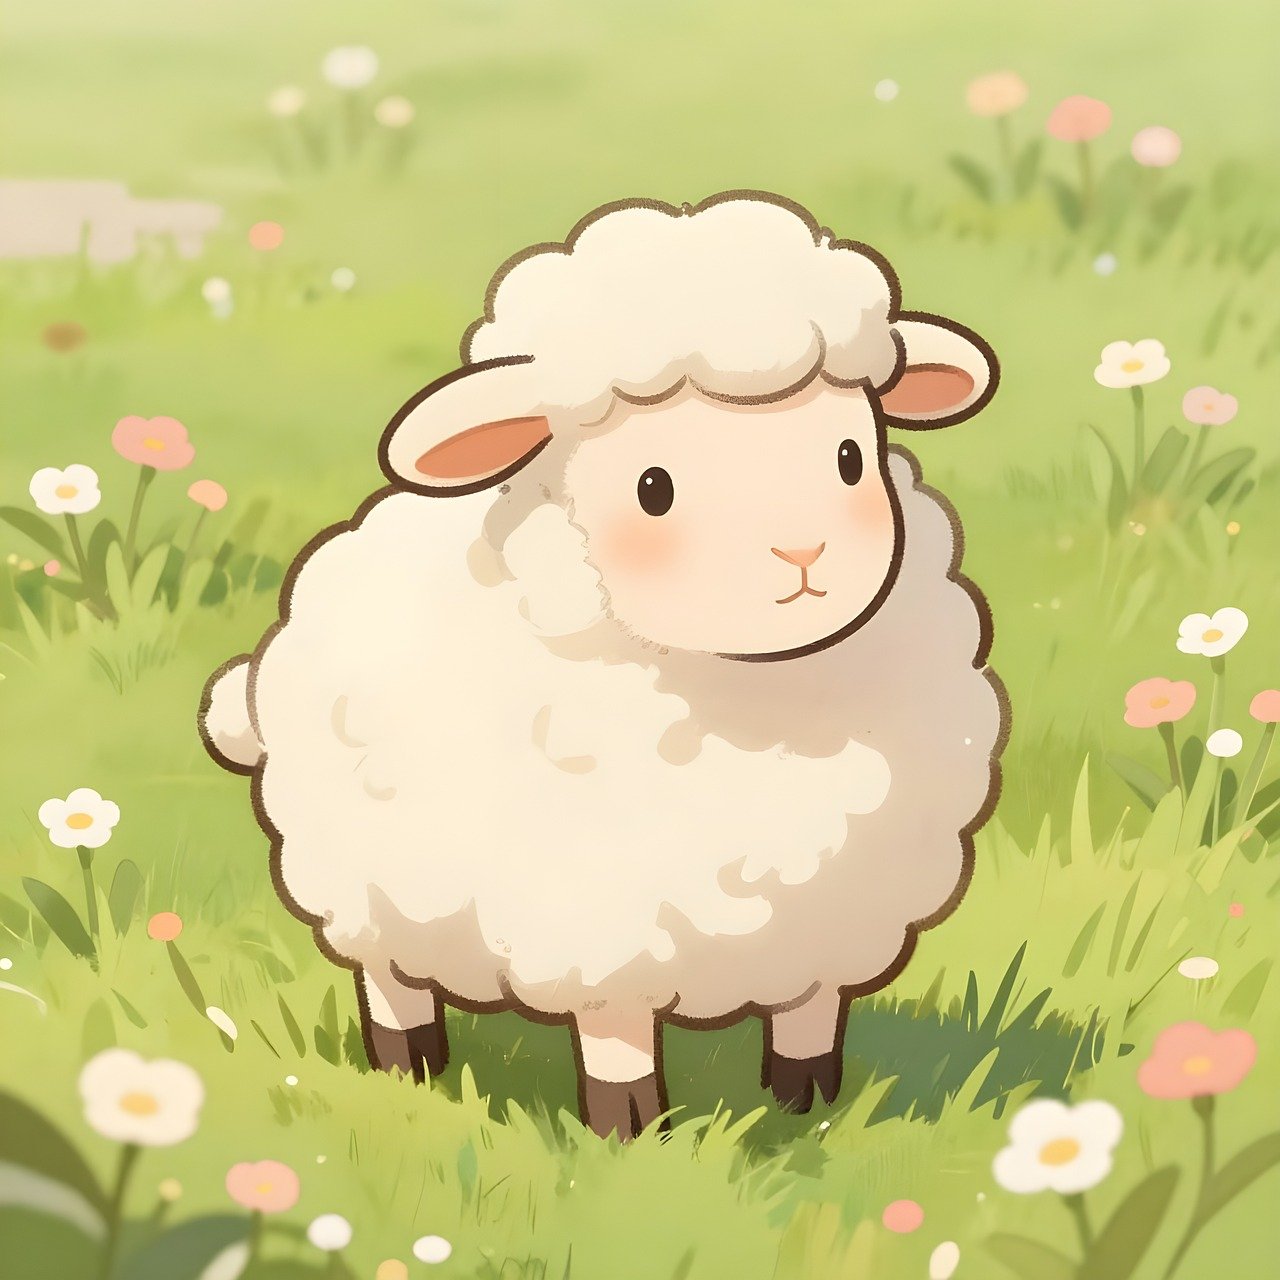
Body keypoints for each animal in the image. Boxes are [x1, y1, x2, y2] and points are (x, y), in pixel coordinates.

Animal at [200, 191, 1009, 1139]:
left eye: (851, 457)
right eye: (653, 488)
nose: (801, 554)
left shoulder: (828, 926)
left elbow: (809, 1019)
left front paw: (806, 1099)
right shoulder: (604, 928)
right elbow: (617, 1039)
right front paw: (630, 1130)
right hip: (365, 883)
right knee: (389, 979)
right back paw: (409, 1063)